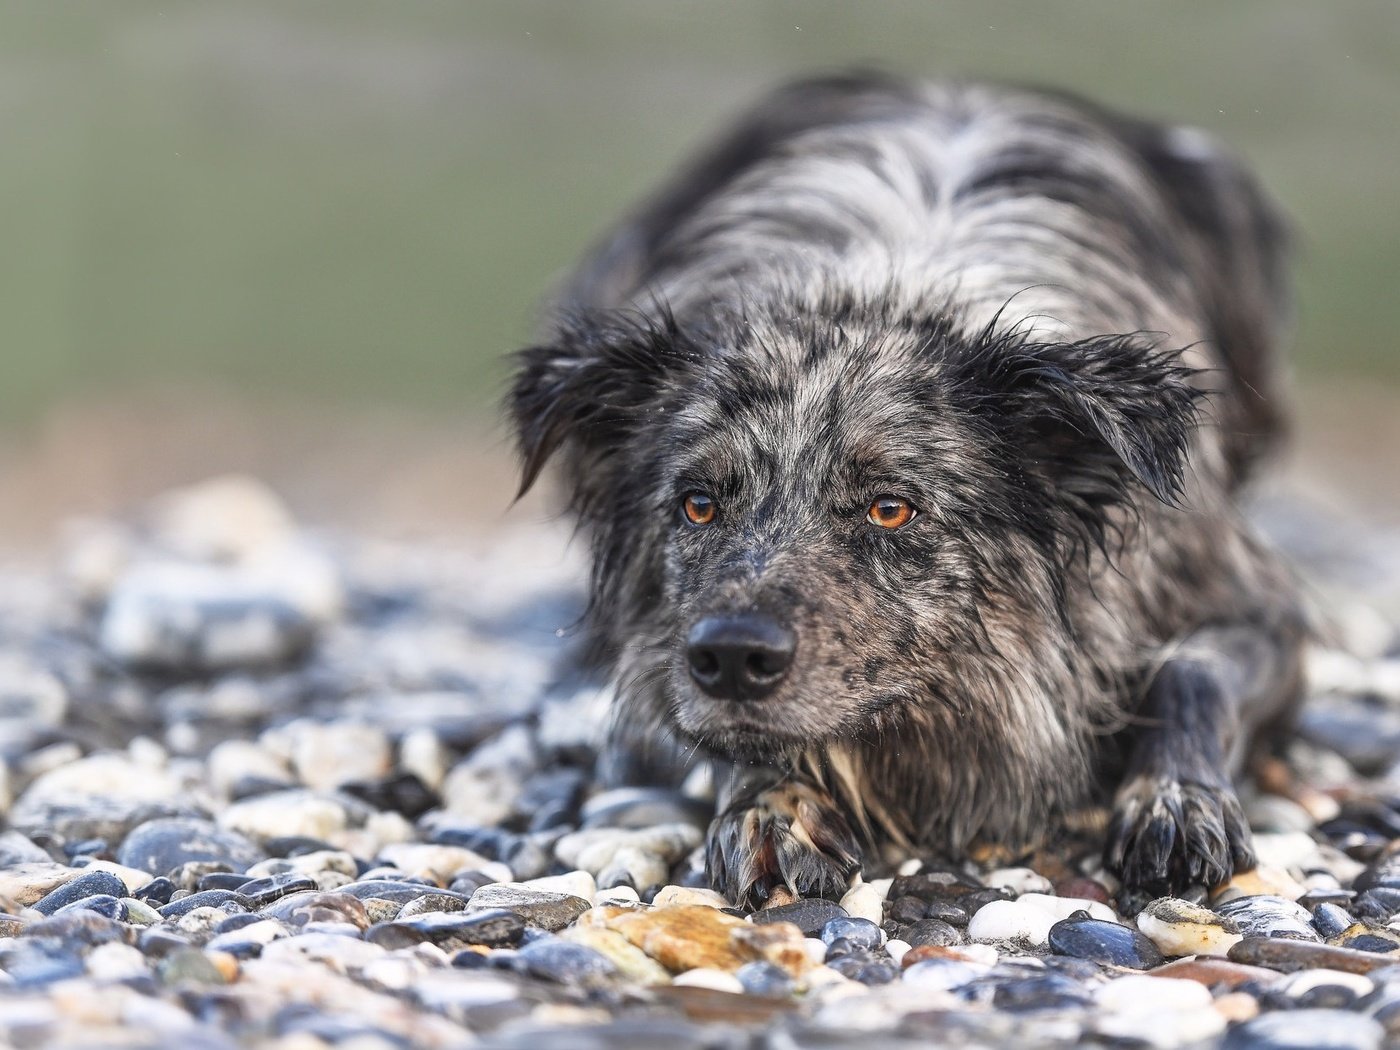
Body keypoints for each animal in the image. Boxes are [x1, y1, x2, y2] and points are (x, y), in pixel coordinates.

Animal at [509, 75, 1304, 912]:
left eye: (890, 508)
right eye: (699, 504)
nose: (731, 656)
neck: (888, 287)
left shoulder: (1256, 603)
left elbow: (1191, 669)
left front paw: (1175, 801)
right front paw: (770, 802)